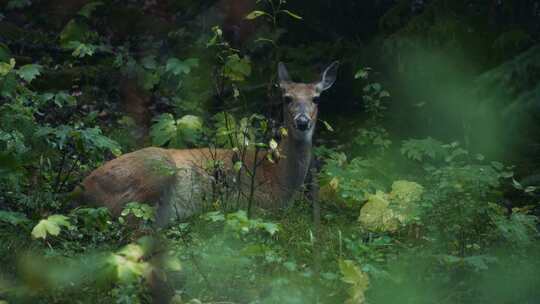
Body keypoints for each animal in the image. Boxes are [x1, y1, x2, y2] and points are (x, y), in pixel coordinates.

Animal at [76, 61, 338, 226]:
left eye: (316, 98)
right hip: (155, 173)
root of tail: (81, 189)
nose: (302, 121)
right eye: (287, 98)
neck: (279, 176)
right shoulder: (252, 204)